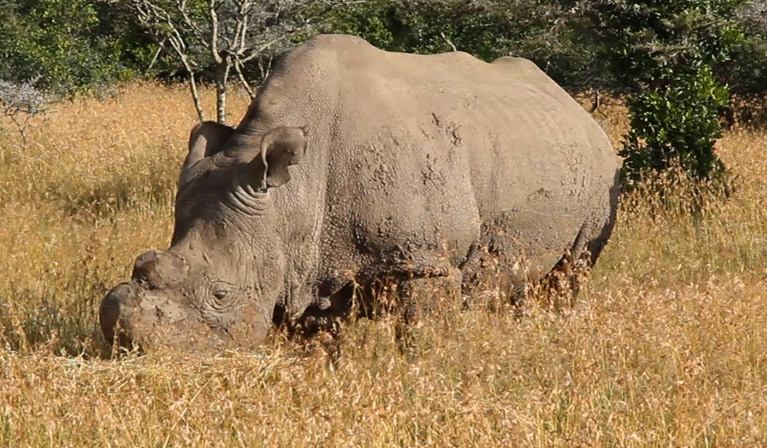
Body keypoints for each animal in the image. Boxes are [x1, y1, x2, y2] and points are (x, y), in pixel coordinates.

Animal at [99, 33, 620, 352]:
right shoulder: (306, 261)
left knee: (571, 269)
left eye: (222, 294)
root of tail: (574, 106)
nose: (133, 351)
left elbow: (420, 337)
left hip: (601, 167)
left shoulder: (427, 260)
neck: (294, 196)